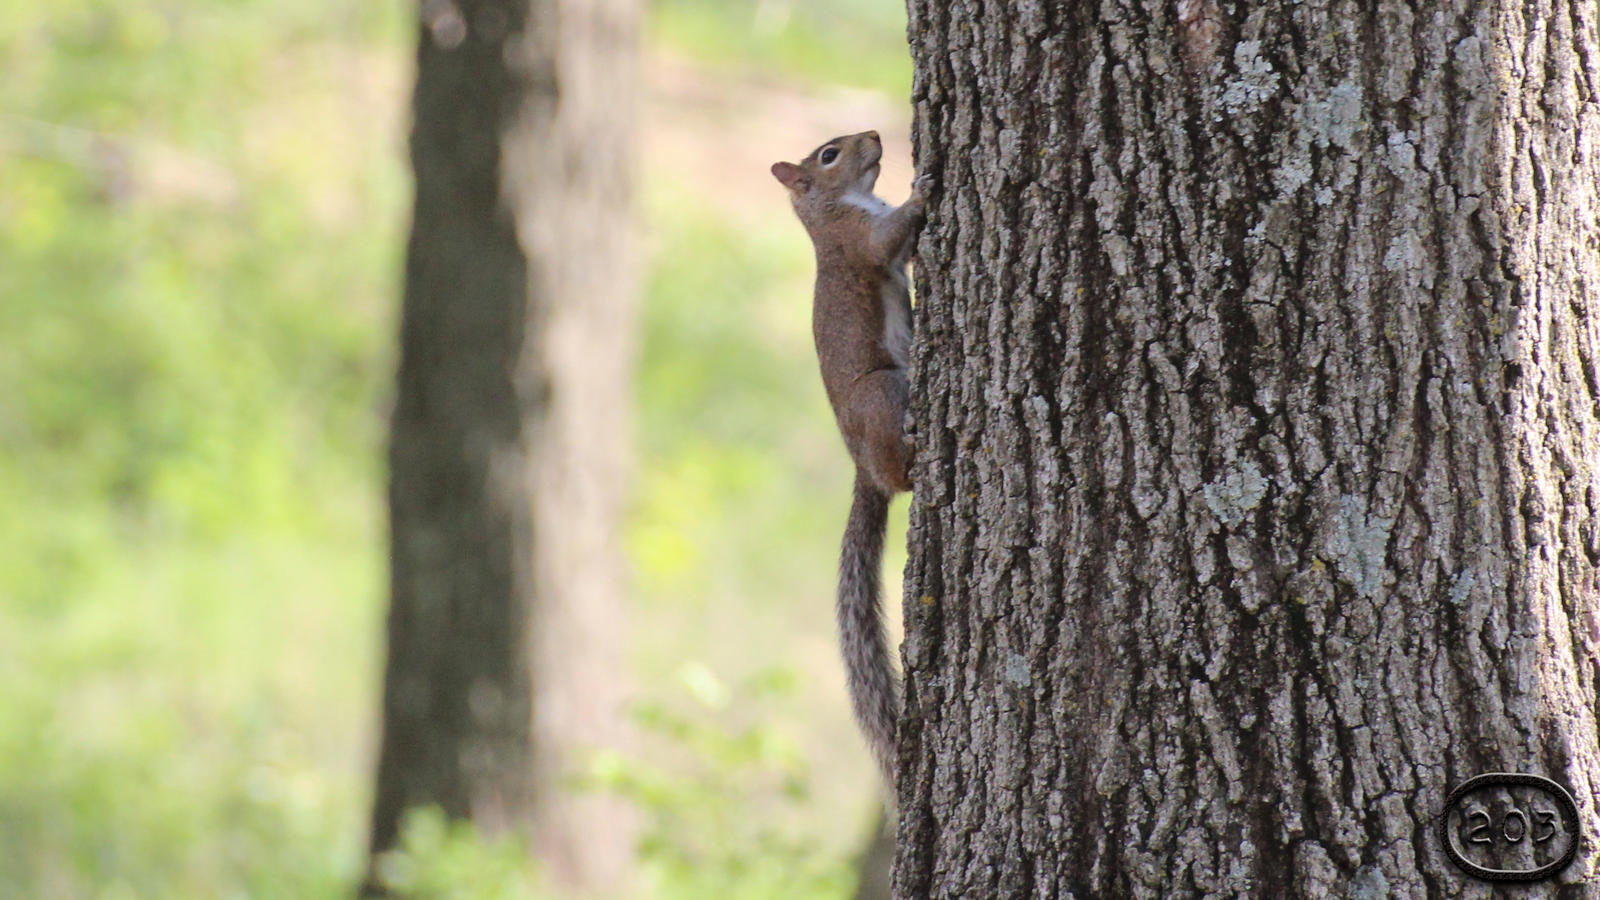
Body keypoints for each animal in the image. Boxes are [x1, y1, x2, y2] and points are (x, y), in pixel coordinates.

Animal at [768, 129, 934, 781]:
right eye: (829, 155)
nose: (877, 136)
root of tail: (865, 470)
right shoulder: (859, 240)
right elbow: (888, 241)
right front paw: (922, 192)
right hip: (882, 394)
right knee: (904, 473)